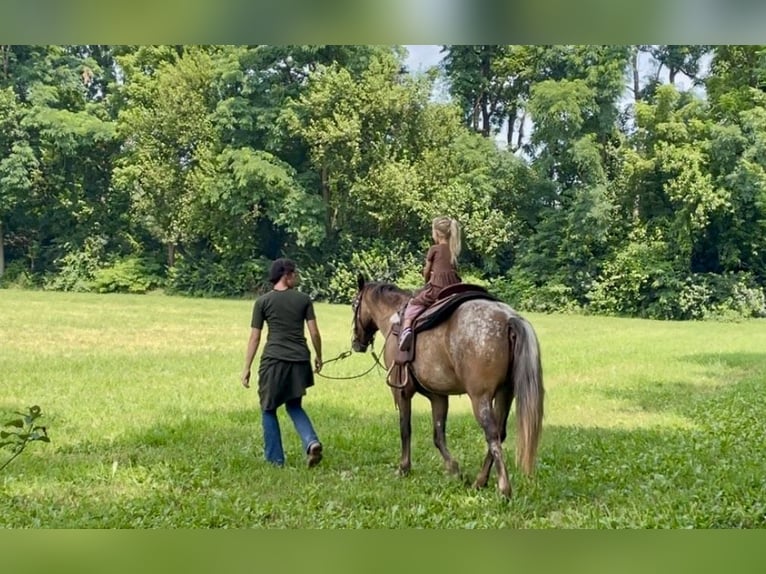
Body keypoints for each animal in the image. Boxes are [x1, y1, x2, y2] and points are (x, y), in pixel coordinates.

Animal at [350, 273, 544, 497]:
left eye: (354, 304)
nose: (356, 343)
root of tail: (508, 319)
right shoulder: (438, 396)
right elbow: (438, 435)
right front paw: (454, 470)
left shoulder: (402, 391)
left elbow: (405, 428)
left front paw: (404, 468)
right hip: (505, 393)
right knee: (500, 434)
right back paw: (480, 481)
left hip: (481, 398)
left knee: (492, 435)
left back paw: (504, 489)